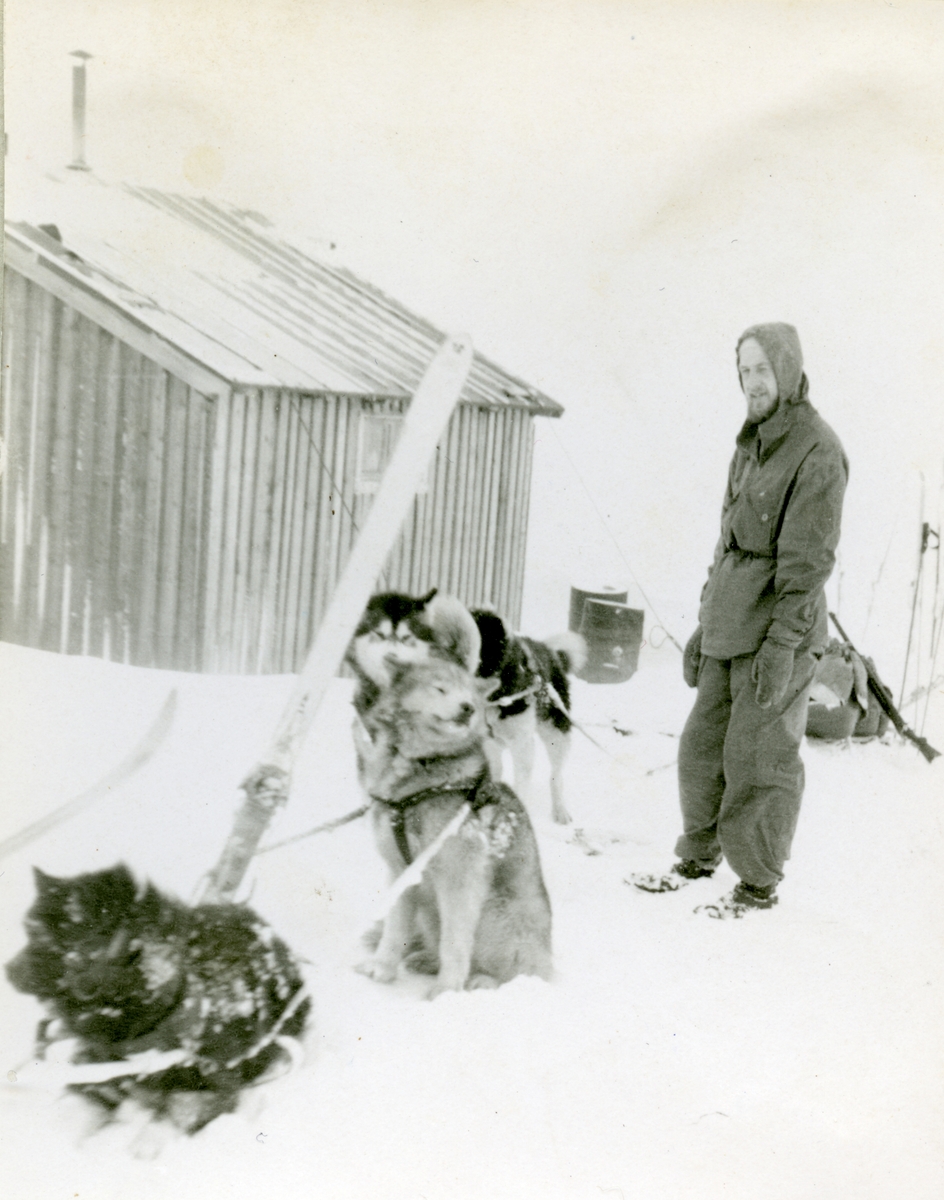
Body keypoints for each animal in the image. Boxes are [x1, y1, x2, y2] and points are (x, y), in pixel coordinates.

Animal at [6, 864, 309, 1132]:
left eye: (40, 935)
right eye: (28, 928)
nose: (7, 970)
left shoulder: (221, 1084)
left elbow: (188, 1112)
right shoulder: (101, 1074)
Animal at [359, 657, 554, 993]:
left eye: (470, 694)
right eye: (440, 688)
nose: (468, 708)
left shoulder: (460, 878)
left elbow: (455, 942)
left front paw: (446, 991)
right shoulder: (400, 871)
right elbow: (394, 929)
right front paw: (382, 969)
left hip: (496, 913)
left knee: (510, 972)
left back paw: (482, 980)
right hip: (430, 910)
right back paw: (426, 959)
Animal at [467, 609, 587, 825]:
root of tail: (552, 653)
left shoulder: (522, 744)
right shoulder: (488, 742)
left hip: (556, 735)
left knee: (556, 776)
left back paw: (560, 811)